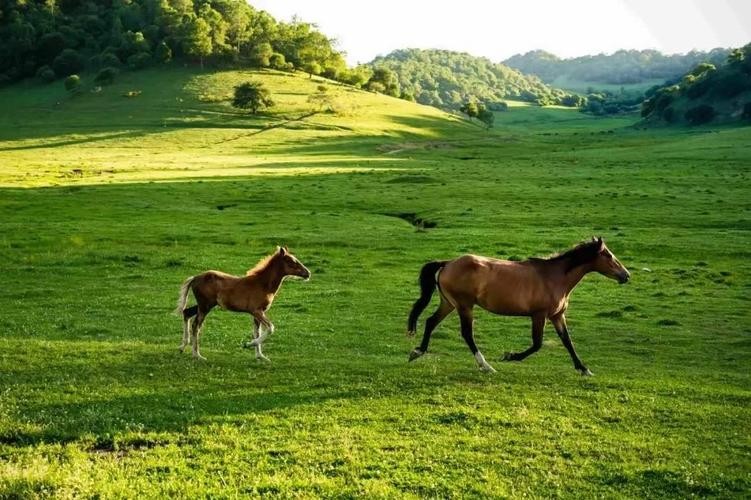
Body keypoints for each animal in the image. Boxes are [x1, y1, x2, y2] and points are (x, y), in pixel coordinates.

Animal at [176, 247, 312, 362]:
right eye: (291, 261)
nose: (308, 273)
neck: (263, 284)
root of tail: (195, 277)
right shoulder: (256, 311)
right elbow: (270, 328)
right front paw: (248, 344)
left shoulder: (258, 313)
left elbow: (257, 332)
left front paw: (260, 356)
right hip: (205, 306)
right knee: (196, 325)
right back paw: (197, 355)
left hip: (205, 305)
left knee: (186, 313)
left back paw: (182, 347)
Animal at [408, 238, 632, 376]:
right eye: (609, 255)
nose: (626, 275)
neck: (554, 277)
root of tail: (448, 263)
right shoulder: (539, 315)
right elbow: (537, 344)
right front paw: (510, 356)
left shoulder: (557, 316)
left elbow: (568, 342)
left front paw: (584, 369)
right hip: (464, 306)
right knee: (467, 334)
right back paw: (486, 366)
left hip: (449, 304)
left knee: (430, 322)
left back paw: (417, 352)